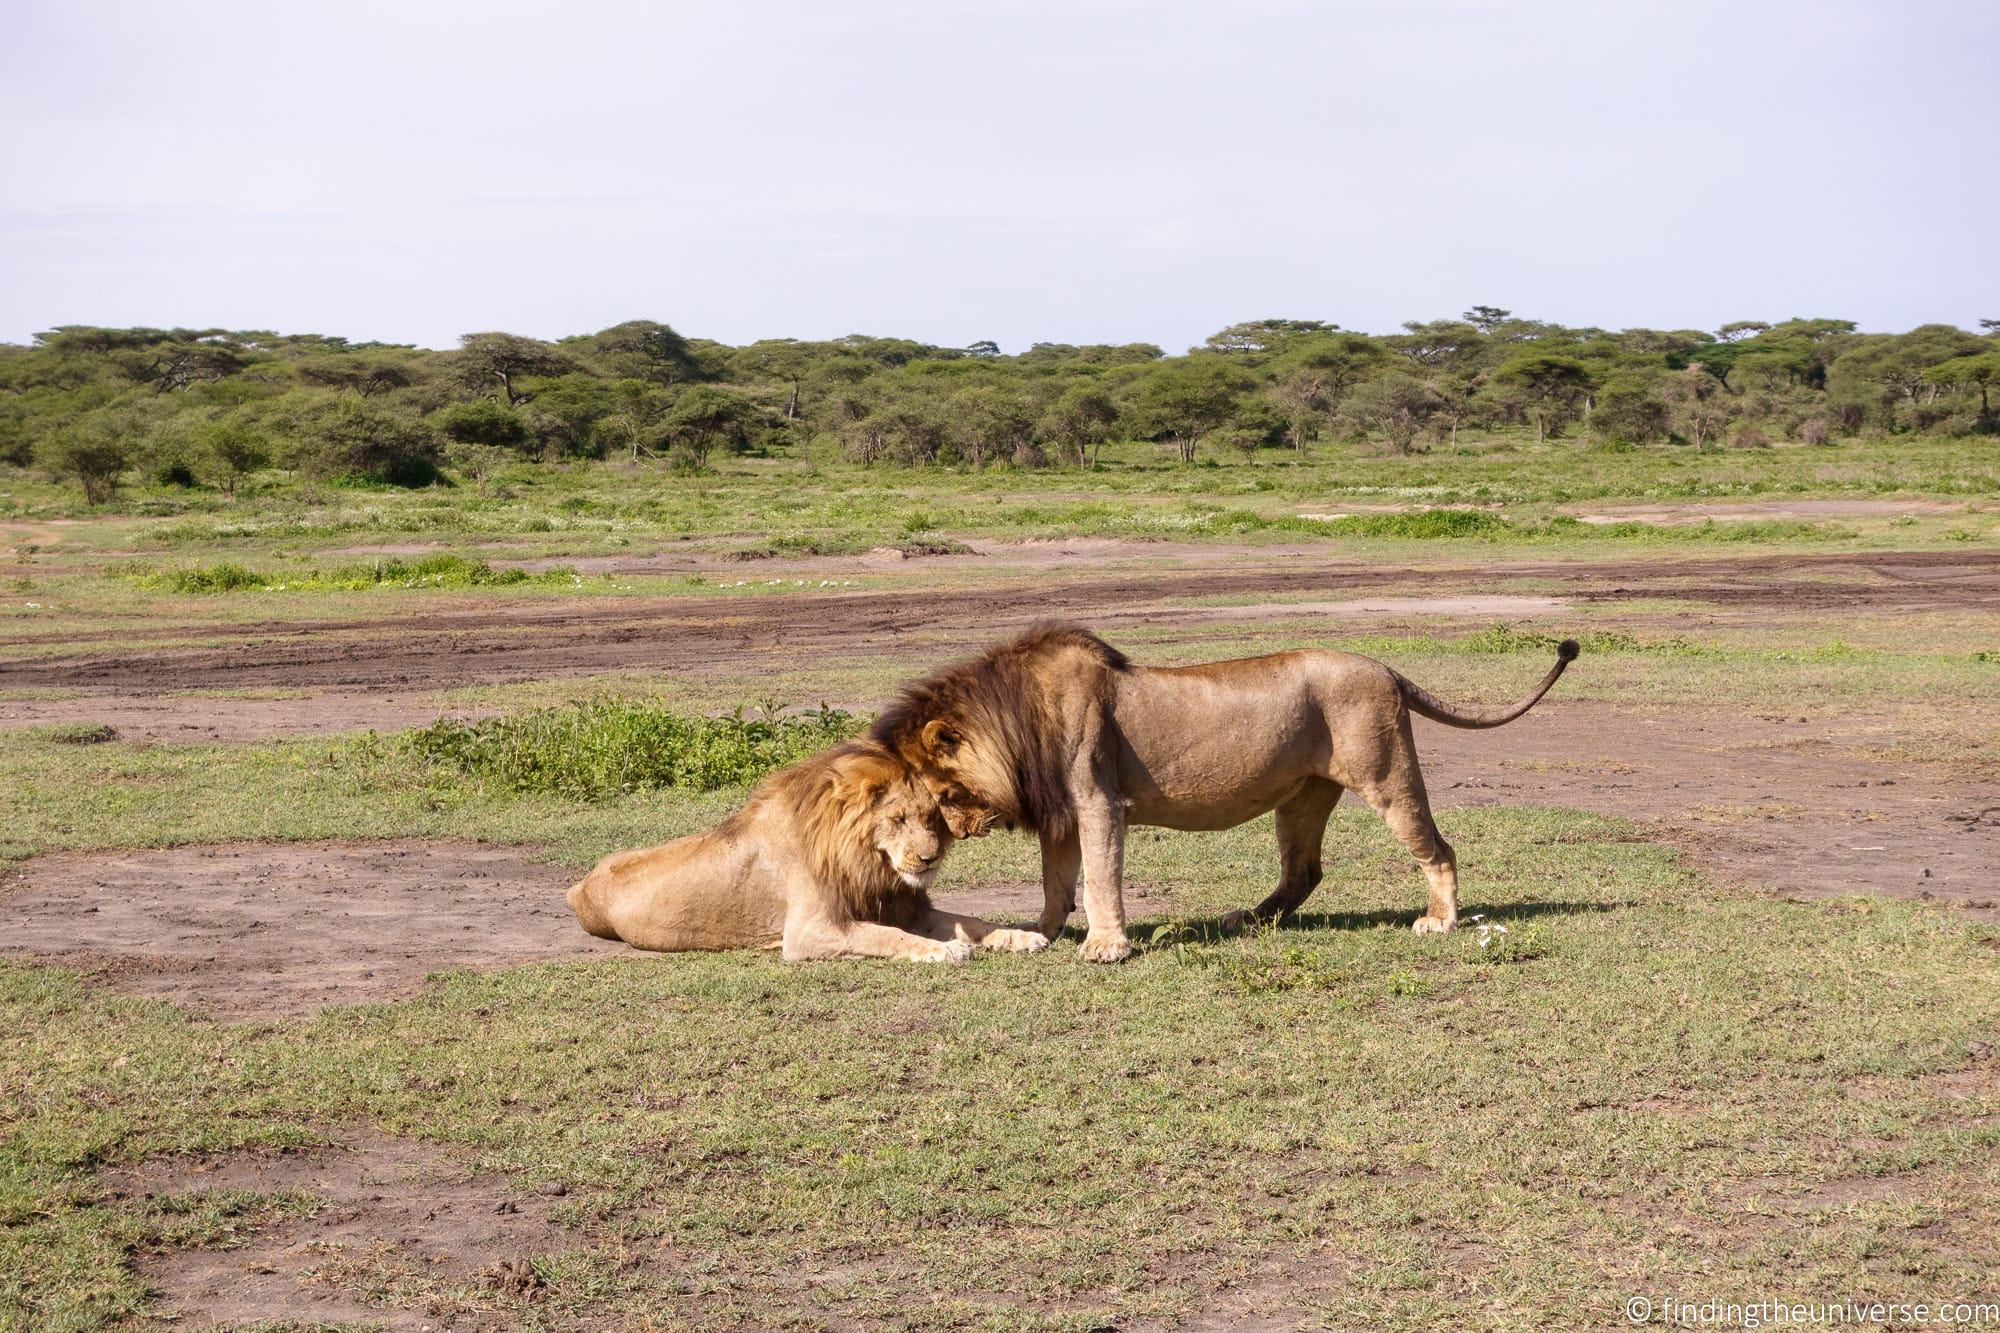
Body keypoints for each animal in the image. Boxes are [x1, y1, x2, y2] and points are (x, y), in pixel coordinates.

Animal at [566, 739, 1048, 962]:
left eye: (931, 818)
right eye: (896, 820)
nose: (929, 860)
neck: (868, 862)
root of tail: (580, 885)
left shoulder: (907, 907)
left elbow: (975, 922)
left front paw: (1023, 936)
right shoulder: (809, 931)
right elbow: (885, 936)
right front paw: (944, 950)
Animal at [871, 624, 1579, 963]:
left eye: (942, 794)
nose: (956, 836)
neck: (1016, 721)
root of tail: (1387, 668)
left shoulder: (1099, 801)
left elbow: (1099, 876)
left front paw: (1105, 945)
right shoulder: (1061, 814)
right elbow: (1055, 881)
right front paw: (1038, 933)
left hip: (1387, 773)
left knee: (1438, 849)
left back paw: (1440, 921)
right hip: (1303, 796)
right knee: (1304, 870)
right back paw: (1250, 920)